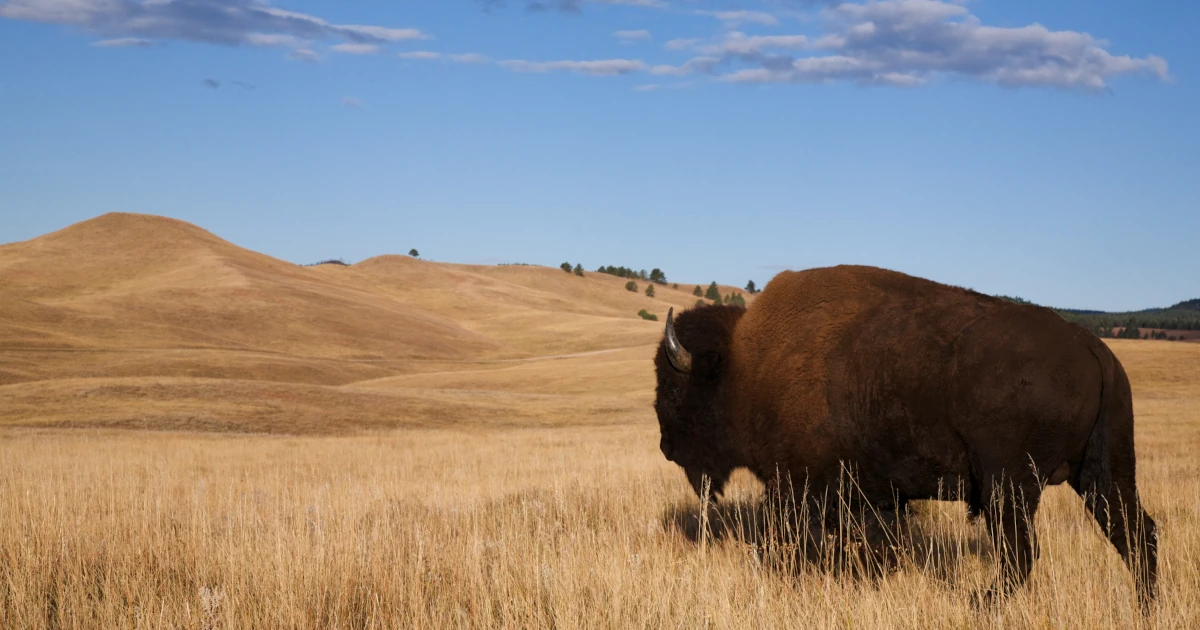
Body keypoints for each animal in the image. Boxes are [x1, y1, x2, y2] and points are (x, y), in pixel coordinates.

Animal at [657, 264, 1161, 609]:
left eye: (676, 387)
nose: (666, 446)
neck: (747, 366)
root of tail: (1091, 345)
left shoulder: (803, 487)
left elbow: (803, 537)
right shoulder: (873, 494)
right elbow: (877, 542)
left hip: (1009, 485)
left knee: (1021, 551)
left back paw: (980, 603)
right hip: (1102, 472)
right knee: (1136, 533)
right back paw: (1146, 606)